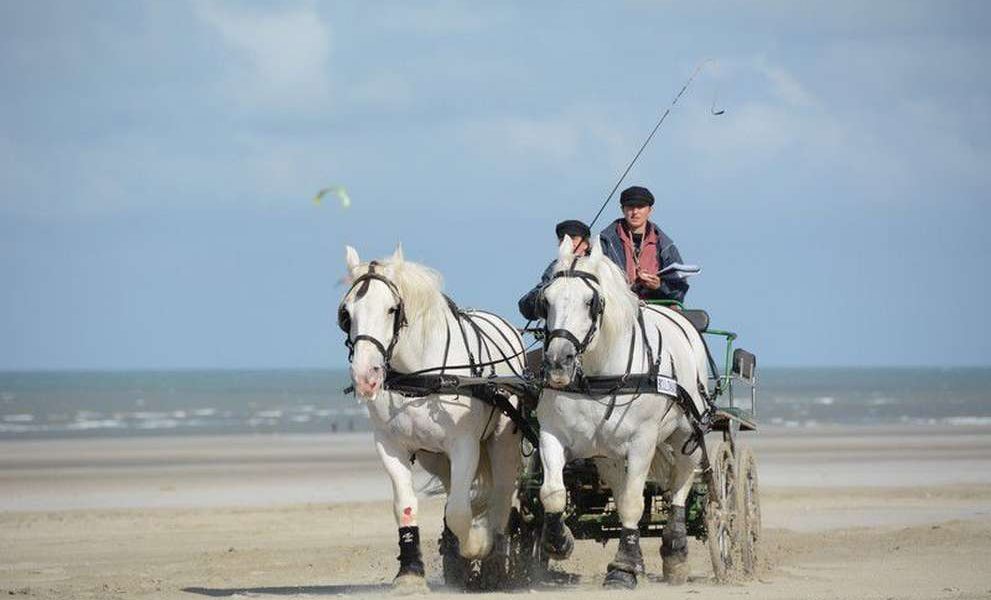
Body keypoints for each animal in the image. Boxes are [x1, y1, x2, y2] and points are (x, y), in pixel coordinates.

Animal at [340, 245, 528, 592]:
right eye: (346, 313)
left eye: (392, 309)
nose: (365, 377)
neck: (421, 375)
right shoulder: (390, 445)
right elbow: (406, 506)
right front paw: (410, 571)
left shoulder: (465, 445)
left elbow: (459, 511)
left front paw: (477, 546)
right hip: (435, 457)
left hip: (503, 442)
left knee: (500, 497)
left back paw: (494, 557)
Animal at [536, 237, 712, 588]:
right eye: (545, 300)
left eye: (591, 301)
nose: (558, 362)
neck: (598, 375)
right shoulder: (551, 433)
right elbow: (552, 492)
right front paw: (558, 541)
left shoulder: (643, 441)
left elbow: (633, 502)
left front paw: (624, 568)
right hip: (607, 454)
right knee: (618, 487)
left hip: (687, 433)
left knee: (681, 483)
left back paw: (675, 551)